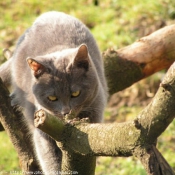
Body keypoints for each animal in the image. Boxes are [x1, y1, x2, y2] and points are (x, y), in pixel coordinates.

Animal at [0, 11, 108, 173]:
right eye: (52, 97)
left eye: (75, 94)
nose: (66, 111)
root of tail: (50, 13)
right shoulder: (41, 129)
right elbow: (49, 158)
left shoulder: (95, 111)